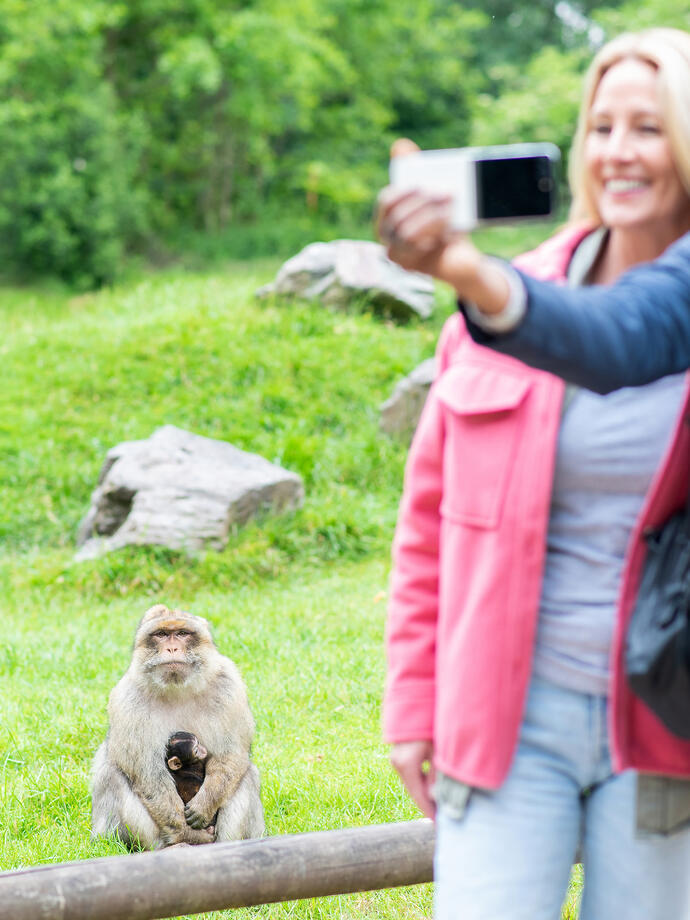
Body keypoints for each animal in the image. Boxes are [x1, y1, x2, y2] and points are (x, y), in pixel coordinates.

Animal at [91, 604, 265, 849]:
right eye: (161, 634)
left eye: (182, 633)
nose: (172, 648)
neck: (178, 690)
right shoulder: (128, 699)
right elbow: (148, 774)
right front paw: (188, 832)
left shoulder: (229, 685)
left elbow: (231, 755)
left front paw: (204, 806)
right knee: (112, 774)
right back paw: (179, 844)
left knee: (247, 773)